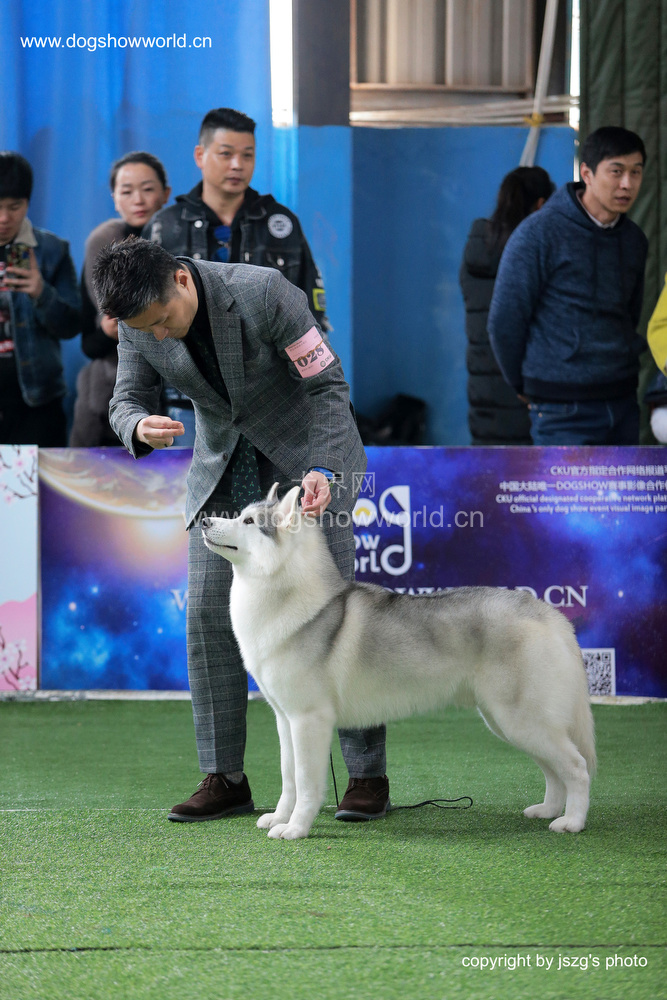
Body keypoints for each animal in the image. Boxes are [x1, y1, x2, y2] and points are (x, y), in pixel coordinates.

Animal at [201, 484, 596, 841]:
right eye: (239, 514)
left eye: (248, 521)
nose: (204, 520)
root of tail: (548, 613)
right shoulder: (286, 720)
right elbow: (288, 778)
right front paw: (279, 817)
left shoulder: (308, 720)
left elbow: (305, 782)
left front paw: (296, 828)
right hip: (510, 722)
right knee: (553, 771)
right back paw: (548, 809)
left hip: (521, 719)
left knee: (576, 767)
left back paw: (572, 822)